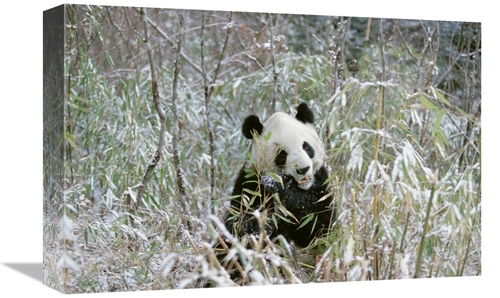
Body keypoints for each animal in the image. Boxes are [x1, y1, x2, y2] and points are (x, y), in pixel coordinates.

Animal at [224, 103, 336, 248]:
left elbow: (321, 225)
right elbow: (235, 222)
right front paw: (257, 222)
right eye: (282, 154)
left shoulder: (321, 181)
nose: (303, 169)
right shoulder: (249, 182)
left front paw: (277, 183)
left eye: (306, 147)